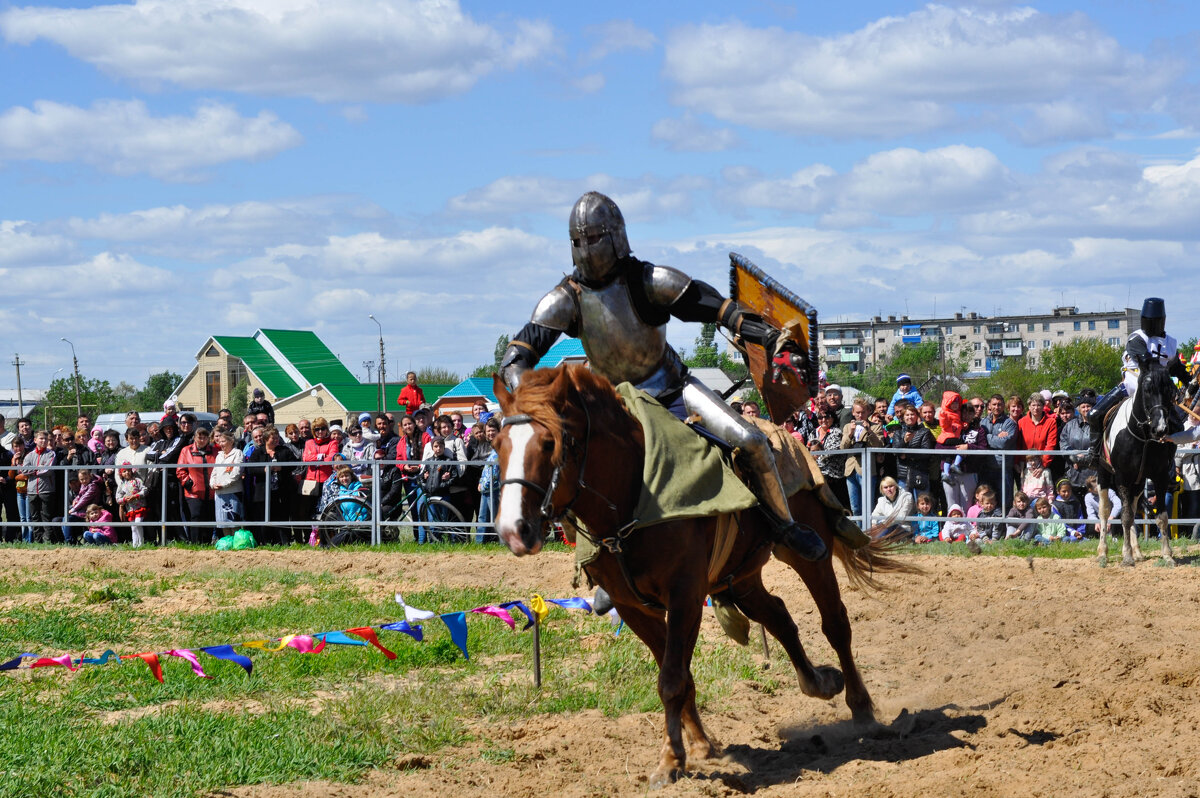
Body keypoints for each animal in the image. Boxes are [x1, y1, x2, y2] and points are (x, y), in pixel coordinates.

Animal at [492, 364, 912, 782]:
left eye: (550, 444)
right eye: (498, 445)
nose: (514, 530)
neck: (633, 496)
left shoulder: (685, 598)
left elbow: (673, 679)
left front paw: (670, 761)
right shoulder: (634, 608)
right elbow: (680, 675)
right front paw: (698, 747)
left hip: (809, 554)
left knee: (835, 623)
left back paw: (861, 708)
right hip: (741, 577)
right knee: (778, 615)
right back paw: (819, 682)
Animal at [1099, 357, 1180, 568]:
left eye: (1170, 390)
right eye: (1147, 389)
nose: (1160, 429)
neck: (1142, 436)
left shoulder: (1159, 477)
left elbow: (1161, 517)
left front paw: (1167, 555)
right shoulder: (1122, 477)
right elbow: (1125, 517)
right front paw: (1126, 556)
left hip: (1137, 483)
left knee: (1134, 508)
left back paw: (1137, 551)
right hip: (1104, 475)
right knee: (1105, 511)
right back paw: (1103, 553)